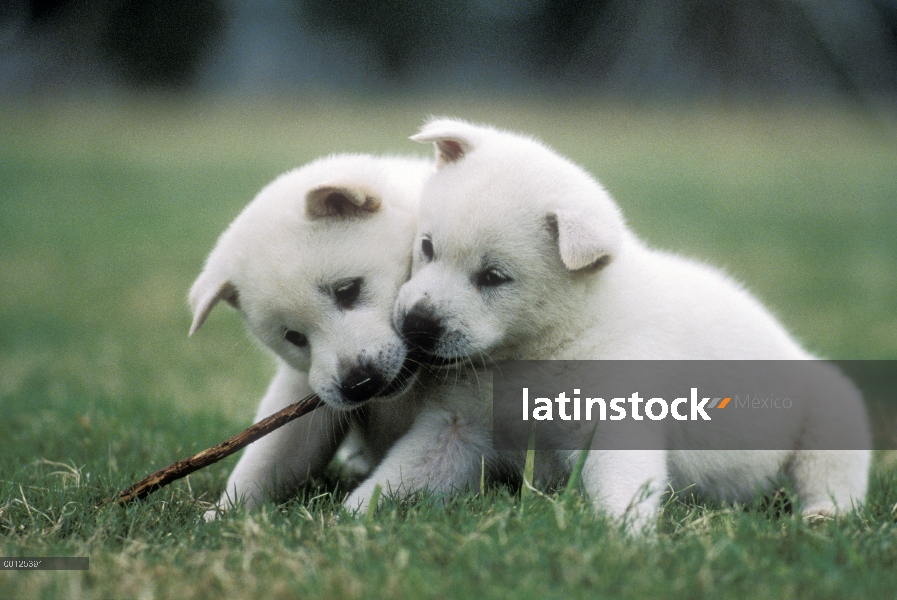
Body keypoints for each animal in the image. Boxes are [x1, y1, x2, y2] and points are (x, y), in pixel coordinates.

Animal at [189, 152, 430, 512]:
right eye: (294, 337)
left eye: (347, 290)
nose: (358, 384)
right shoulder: (303, 390)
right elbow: (266, 458)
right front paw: (221, 515)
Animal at [390, 119, 868, 528]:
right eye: (427, 247)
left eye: (493, 277)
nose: (417, 325)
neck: (555, 339)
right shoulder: (456, 425)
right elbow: (401, 473)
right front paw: (371, 515)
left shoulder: (614, 419)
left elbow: (622, 485)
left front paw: (620, 539)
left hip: (828, 414)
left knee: (832, 474)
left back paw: (824, 515)